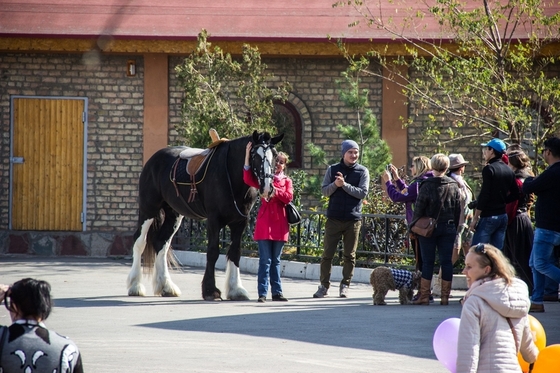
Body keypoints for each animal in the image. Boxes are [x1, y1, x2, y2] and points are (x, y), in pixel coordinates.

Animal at [127, 131, 284, 300]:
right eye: (255, 155)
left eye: (275, 155)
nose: (267, 187)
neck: (231, 174)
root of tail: (153, 160)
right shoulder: (214, 220)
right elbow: (213, 252)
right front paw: (210, 290)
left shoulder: (240, 222)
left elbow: (235, 252)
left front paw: (236, 289)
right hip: (149, 209)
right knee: (139, 241)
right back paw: (135, 286)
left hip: (174, 214)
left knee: (161, 242)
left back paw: (166, 287)